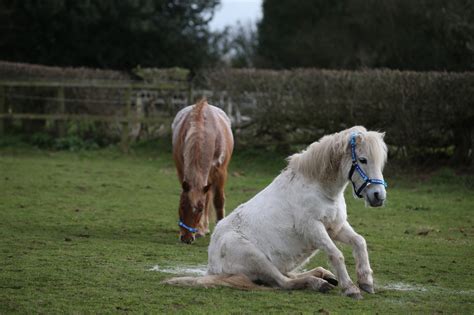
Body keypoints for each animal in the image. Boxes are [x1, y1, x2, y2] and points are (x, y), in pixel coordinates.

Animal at [165, 127, 386, 300]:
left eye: (379, 162)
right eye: (363, 160)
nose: (378, 196)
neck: (318, 188)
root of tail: (212, 265)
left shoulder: (335, 227)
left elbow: (360, 242)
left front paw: (366, 282)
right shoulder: (314, 229)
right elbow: (336, 254)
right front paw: (351, 288)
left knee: (288, 276)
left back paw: (325, 275)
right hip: (257, 258)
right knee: (283, 282)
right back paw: (319, 283)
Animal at [173, 99, 234, 244]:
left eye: (199, 210)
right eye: (181, 206)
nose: (186, 238)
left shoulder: (220, 173)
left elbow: (218, 201)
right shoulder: (182, 171)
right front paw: (200, 229)